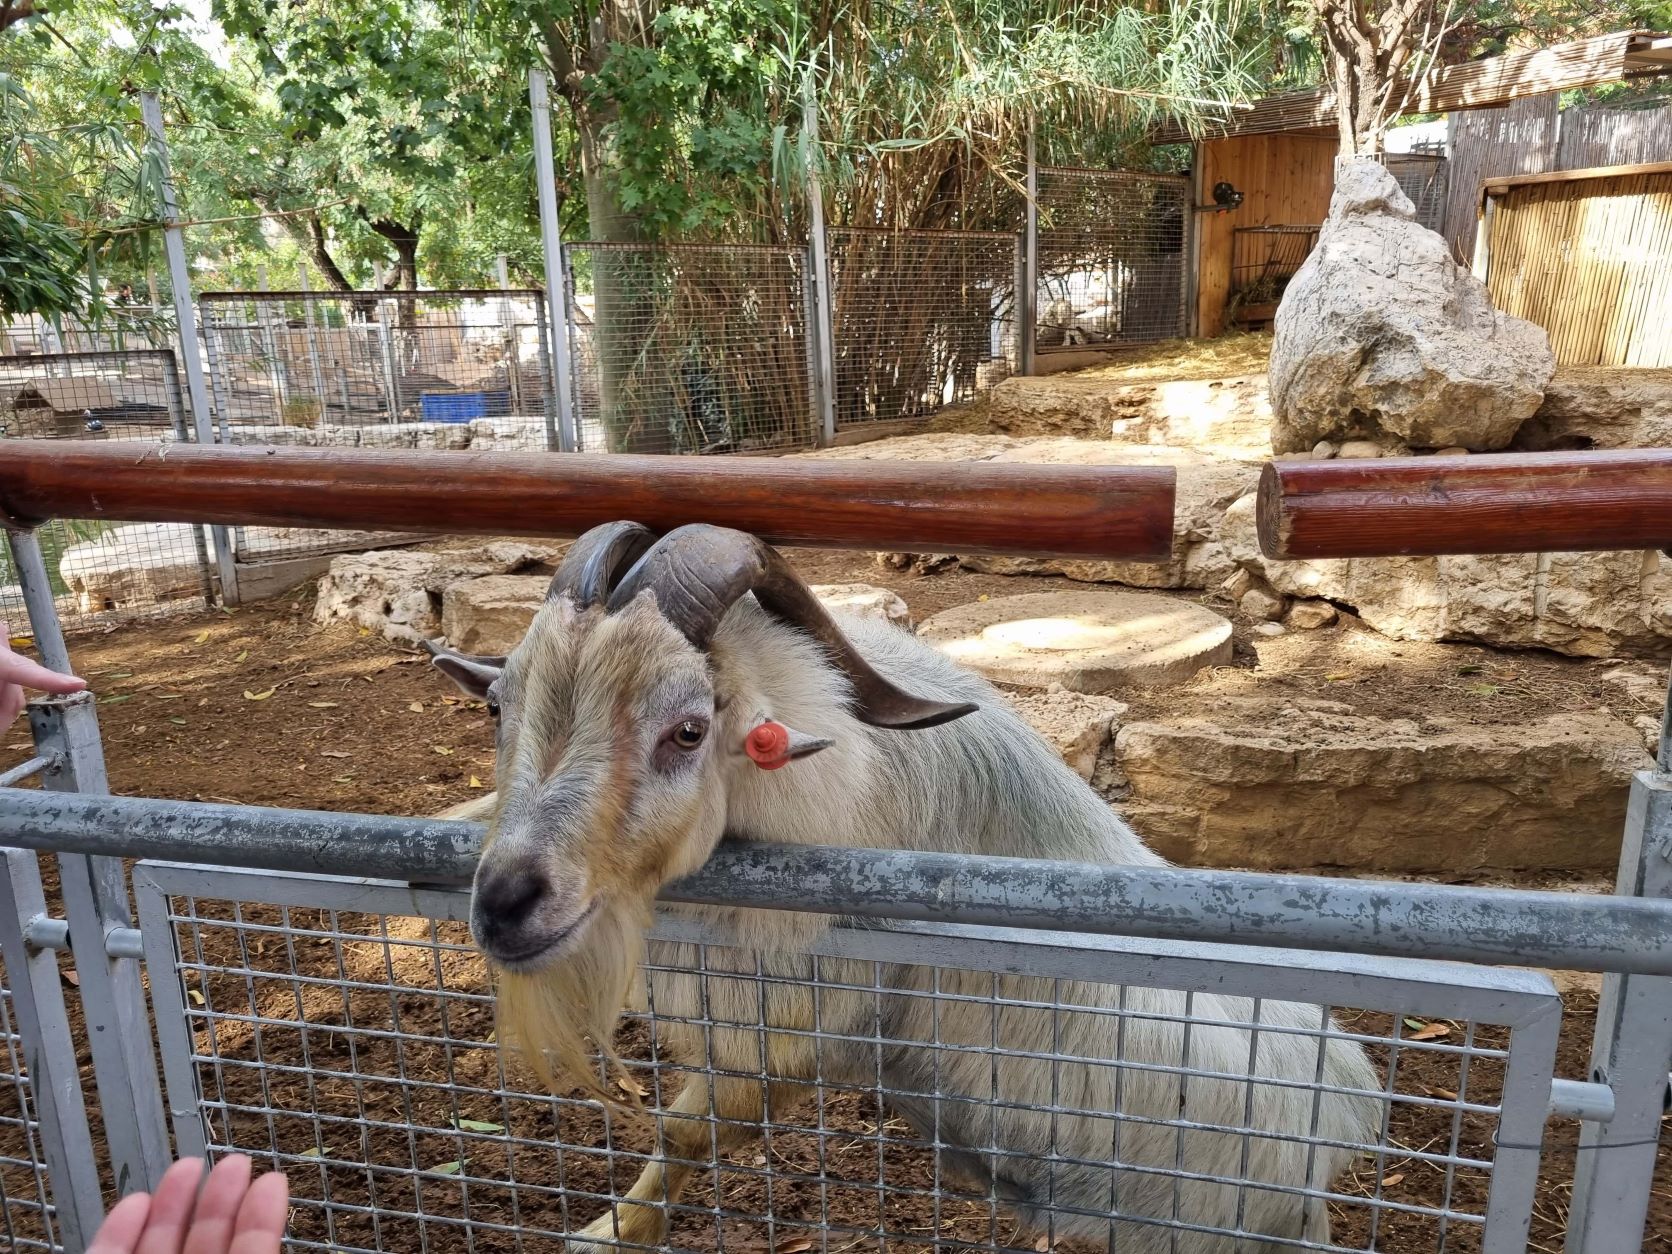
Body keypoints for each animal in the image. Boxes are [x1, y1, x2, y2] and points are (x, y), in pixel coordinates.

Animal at [428, 514, 1371, 1250]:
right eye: (498, 707)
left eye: (689, 729)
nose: (505, 905)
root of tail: (1337, 1139)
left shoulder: (792, 1033)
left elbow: (687, 1131)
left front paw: (608, 1233)